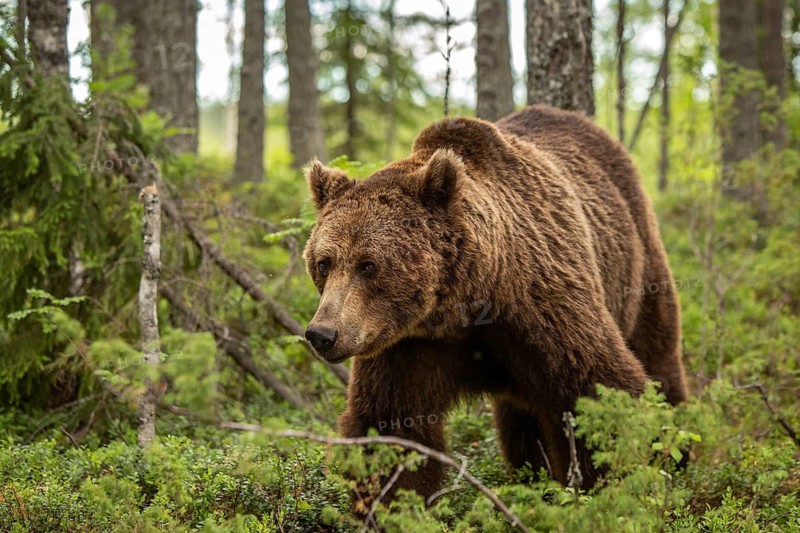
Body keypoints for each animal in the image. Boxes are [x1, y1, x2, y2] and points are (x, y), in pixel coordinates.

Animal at [302, 105, 687, 500]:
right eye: (323, 262)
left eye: (368, 265)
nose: (322, 334)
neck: (466, 304)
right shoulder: (405, 345)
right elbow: (391, 426)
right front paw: (390, 500)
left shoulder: (542, 307)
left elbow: (598, 391)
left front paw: (610, 484)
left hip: (638, 266)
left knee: (658, 355)